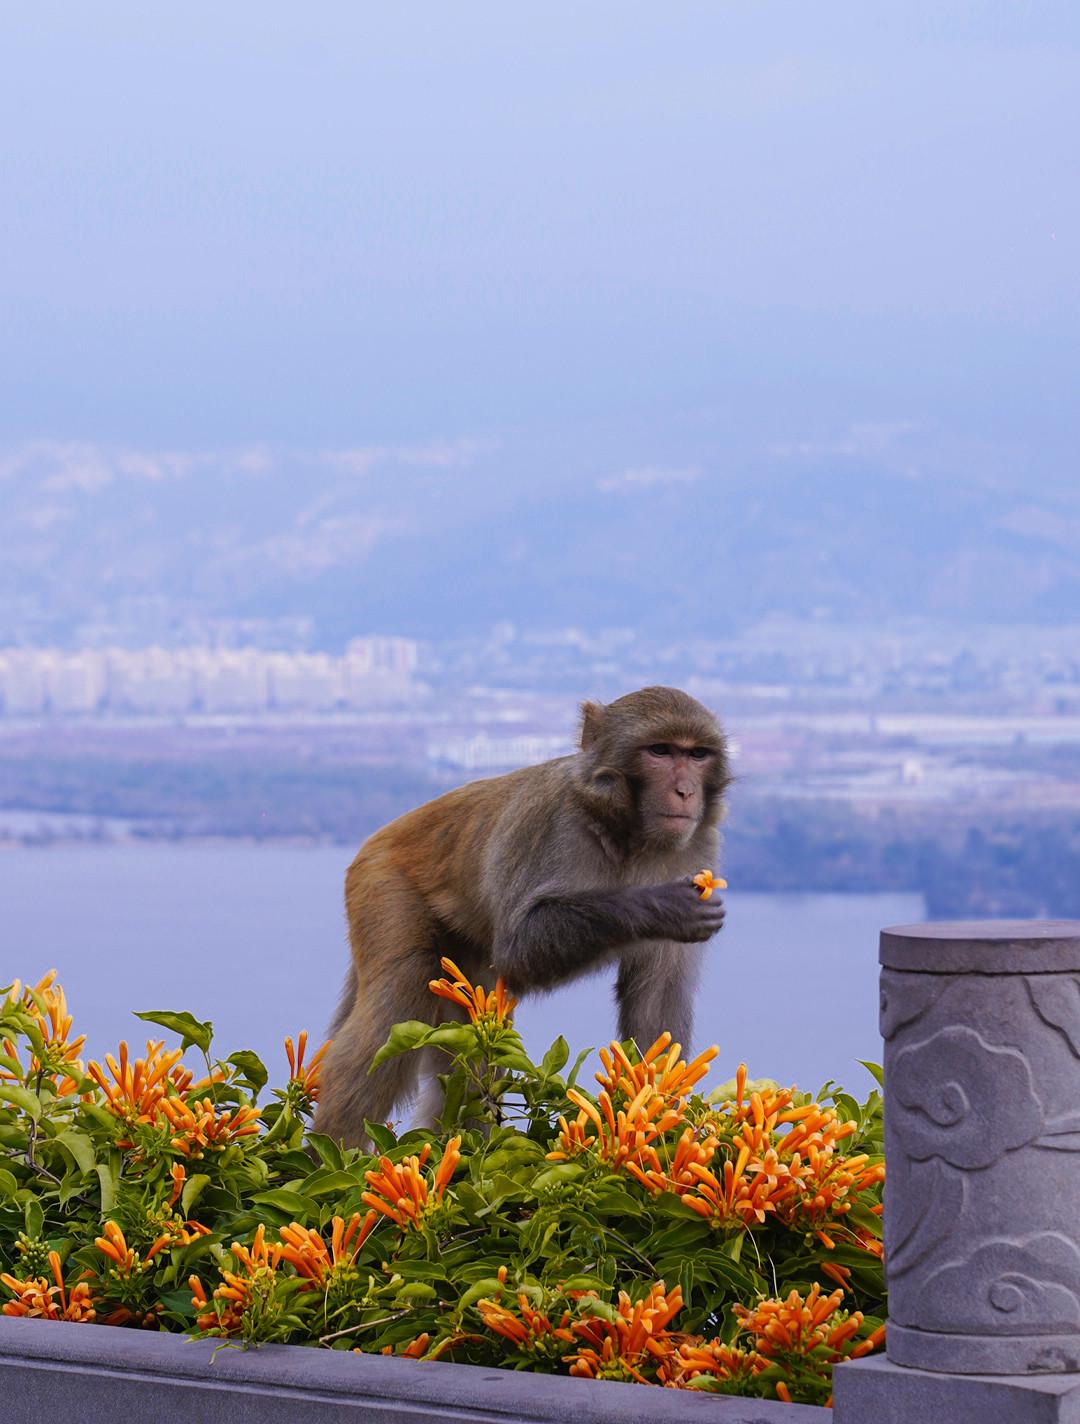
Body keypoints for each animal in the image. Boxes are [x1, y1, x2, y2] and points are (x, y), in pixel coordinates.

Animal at [314, 686, 735, 1144]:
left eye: (696, 755)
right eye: (660, 751)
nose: (684, 791)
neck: (627, 832)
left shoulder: (697, 848)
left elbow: (658, 994)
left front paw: (655, 1115)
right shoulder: (557, 826)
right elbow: (519, 946)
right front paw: (662, 906)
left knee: (474, 1042)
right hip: (382, 882)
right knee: (403, 991)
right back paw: (328, 1150)